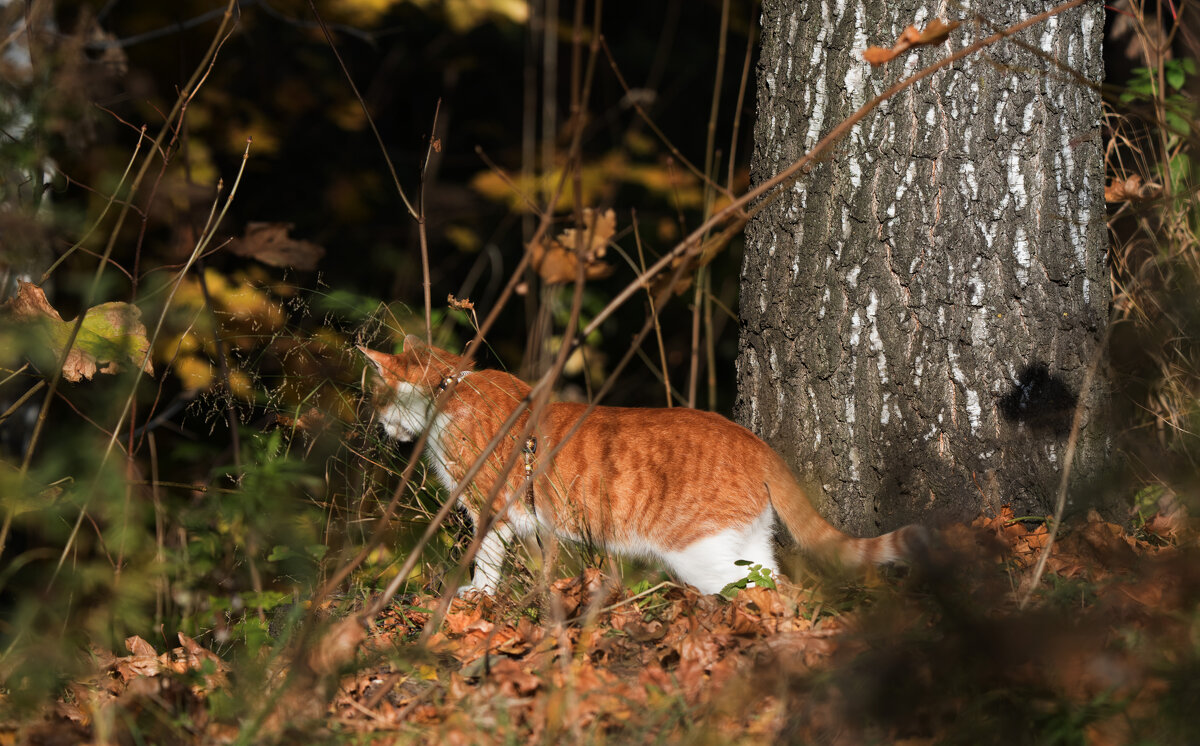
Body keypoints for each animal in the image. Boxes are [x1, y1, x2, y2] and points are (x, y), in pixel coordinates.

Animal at [360, 338, 921, 597]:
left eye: (376, 398)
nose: (378, 426)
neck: (449, 394)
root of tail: (753, 441)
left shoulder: (490, 507)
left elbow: (487, 558)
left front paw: (477, 590)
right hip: (745, 544)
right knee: (776, 583)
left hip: (698, 552)